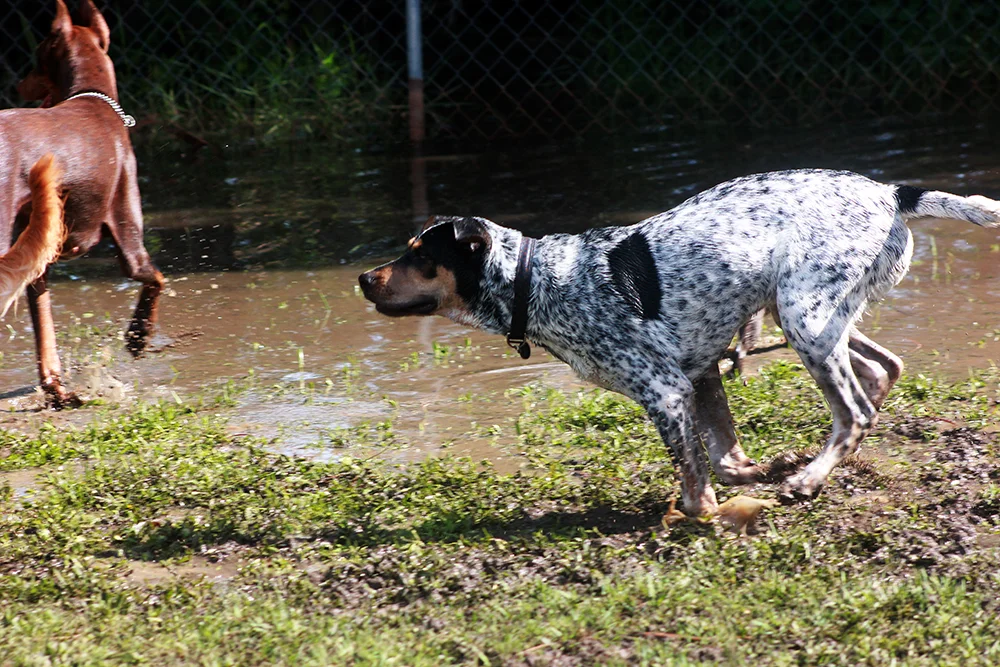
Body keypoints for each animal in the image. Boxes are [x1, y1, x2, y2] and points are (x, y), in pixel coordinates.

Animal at [0, 0, 164, 407]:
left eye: (37, 58)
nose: (15, 85)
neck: (90, 96)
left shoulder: (35, 257)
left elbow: (44, 328)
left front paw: (56, 388)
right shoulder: (130, 246)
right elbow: (155, 278)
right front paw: (138, 338)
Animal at [359, 169, 1000, 518]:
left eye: (418, 255)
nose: (364, 278)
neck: (537, 281)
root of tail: (892, 192)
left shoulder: (665, 391)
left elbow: (694, 475)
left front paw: (703, 516)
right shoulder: (701, 375)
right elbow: (724, 455)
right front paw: (755, 473)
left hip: (805, 321)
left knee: (857, 410)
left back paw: (810, 478)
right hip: (809, 315)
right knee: (883, 371)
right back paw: (818, 462)